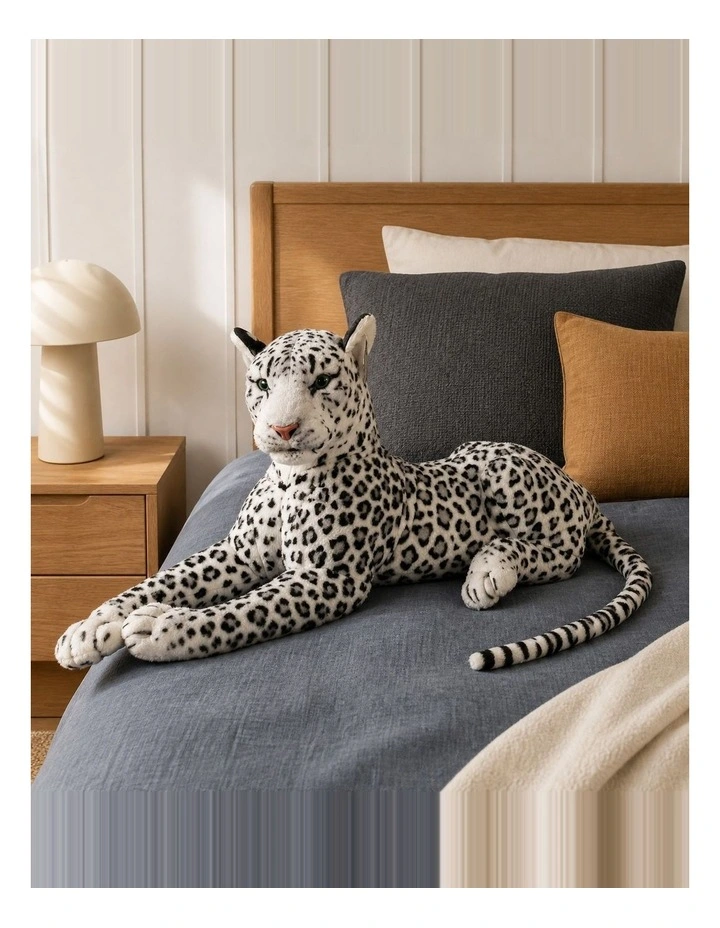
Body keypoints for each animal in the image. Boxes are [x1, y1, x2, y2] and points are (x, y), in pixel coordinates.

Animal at [55, 314, 652, 673]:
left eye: (322, 382)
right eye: (262, 384)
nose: (283, 429)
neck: (287, 479)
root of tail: (581, 489)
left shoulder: (328, 579)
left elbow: (235, 614)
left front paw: (160, 625)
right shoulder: (237, 553)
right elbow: (157, 580)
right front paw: (91, 627)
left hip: (501, 473)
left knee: (558, 553)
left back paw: (488, 573)